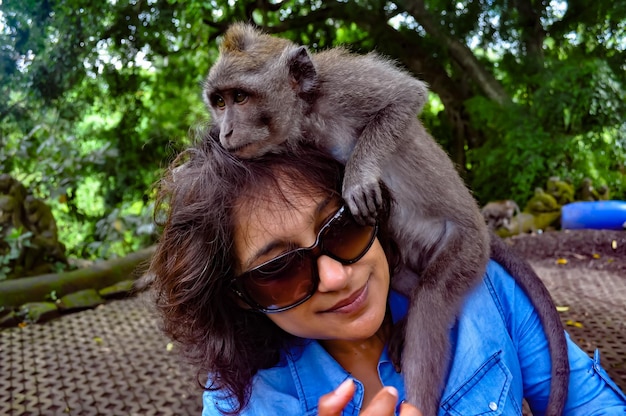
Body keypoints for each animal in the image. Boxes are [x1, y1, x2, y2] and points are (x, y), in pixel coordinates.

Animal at [202, 22, 568, 416]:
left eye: (240, 97)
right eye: (219, 102)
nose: (225, 132)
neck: (308, 114)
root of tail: (482, 230)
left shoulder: (341, 83)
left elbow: (405, 97)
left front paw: (357, 177)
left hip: (467, 248)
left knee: (433, 297)